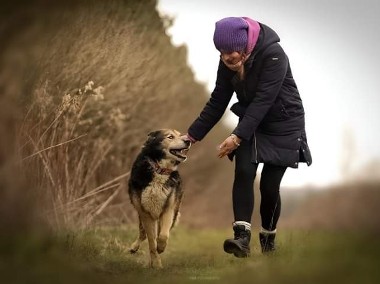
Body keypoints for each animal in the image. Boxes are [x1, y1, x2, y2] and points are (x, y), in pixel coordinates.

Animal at [129, 129, 191, 268]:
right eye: (170, 137)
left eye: (180, 135)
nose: (188, 140)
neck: (160, 170)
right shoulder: (145, 213)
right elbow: (151, 242)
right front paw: (156, 263)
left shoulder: (168, 210)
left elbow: (163, 235)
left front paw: (161, 248)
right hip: (142, 215)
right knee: (143, 233)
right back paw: (134, 248)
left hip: (174, 214)